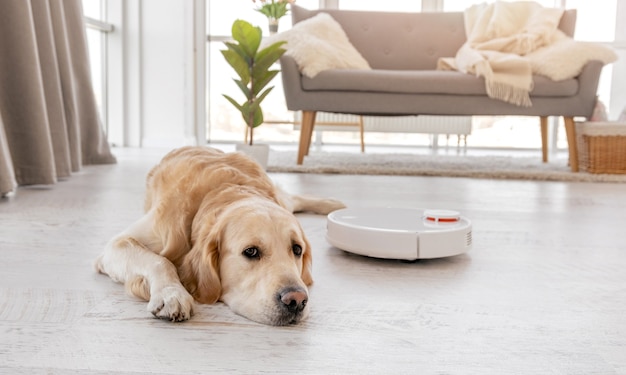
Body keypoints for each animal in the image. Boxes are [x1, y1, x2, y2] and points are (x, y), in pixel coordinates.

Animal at [95, 147, 344, 326]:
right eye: (251, 251)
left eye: (297, 249)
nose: (297, 300)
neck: (221, 190)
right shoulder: (115, 247)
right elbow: (160, 261)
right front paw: (172, 294)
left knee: (293, 198)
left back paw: (333, 204)